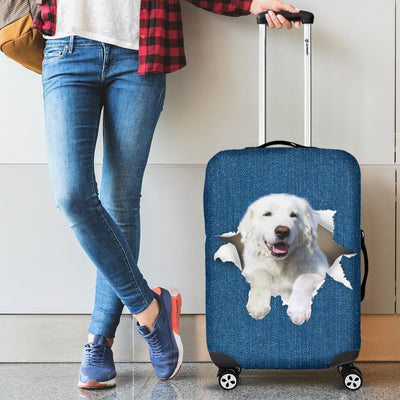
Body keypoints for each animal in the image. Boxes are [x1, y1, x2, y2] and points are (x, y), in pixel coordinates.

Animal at [239, 194, 330, 324]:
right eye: (267, 214)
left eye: (293, 215)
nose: (282, 231)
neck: (282, 265)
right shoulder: (252, 269)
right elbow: (261, 274)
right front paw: (258, 305)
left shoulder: (320, 274)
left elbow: (304, 278)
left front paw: (298, 310)